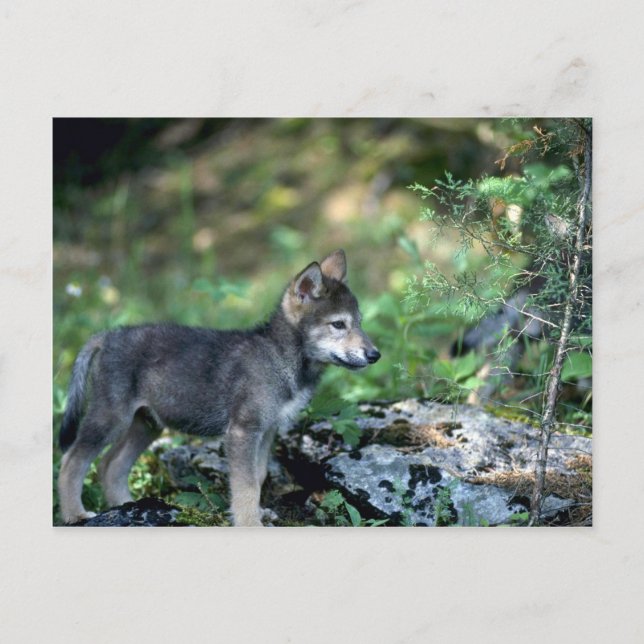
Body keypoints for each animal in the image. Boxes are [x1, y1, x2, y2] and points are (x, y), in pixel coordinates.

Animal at [57, 250, 380, 526]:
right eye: (338, 324)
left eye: (360, 323)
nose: (375, 355)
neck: (280, 358)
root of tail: (106, 336)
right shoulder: (243, 430)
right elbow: (245, 484)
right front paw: (250, 524)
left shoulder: (267, 430)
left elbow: (258, 477)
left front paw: (258, 513)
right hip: (111, 417)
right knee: (71, 460)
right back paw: (76, 514)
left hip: (146, 423)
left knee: (110, 465)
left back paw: (127, 506)